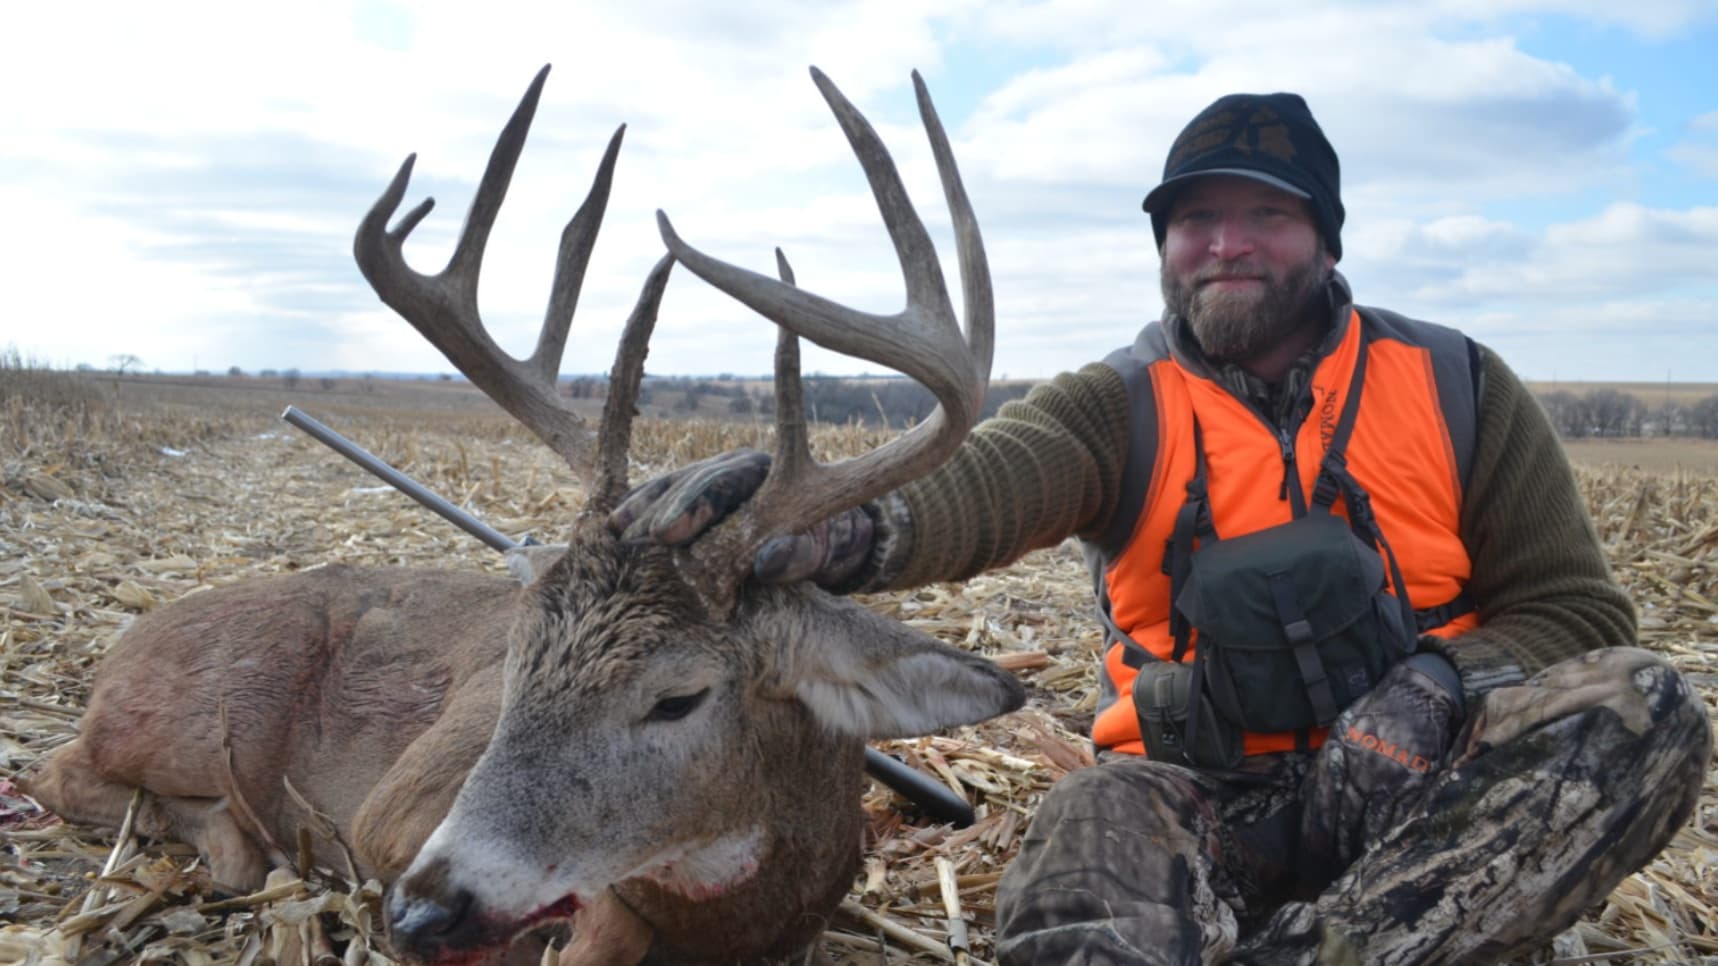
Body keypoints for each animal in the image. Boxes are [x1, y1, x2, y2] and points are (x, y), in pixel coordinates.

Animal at [23, 64, 1021, 966]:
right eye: (512, 663)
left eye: (679, 698)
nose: (423, 912)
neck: (735, 920)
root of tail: (117, 650)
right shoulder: (391, 820)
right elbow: (586, 926)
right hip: (198, 721)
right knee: (59, 768)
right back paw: (242, 844)